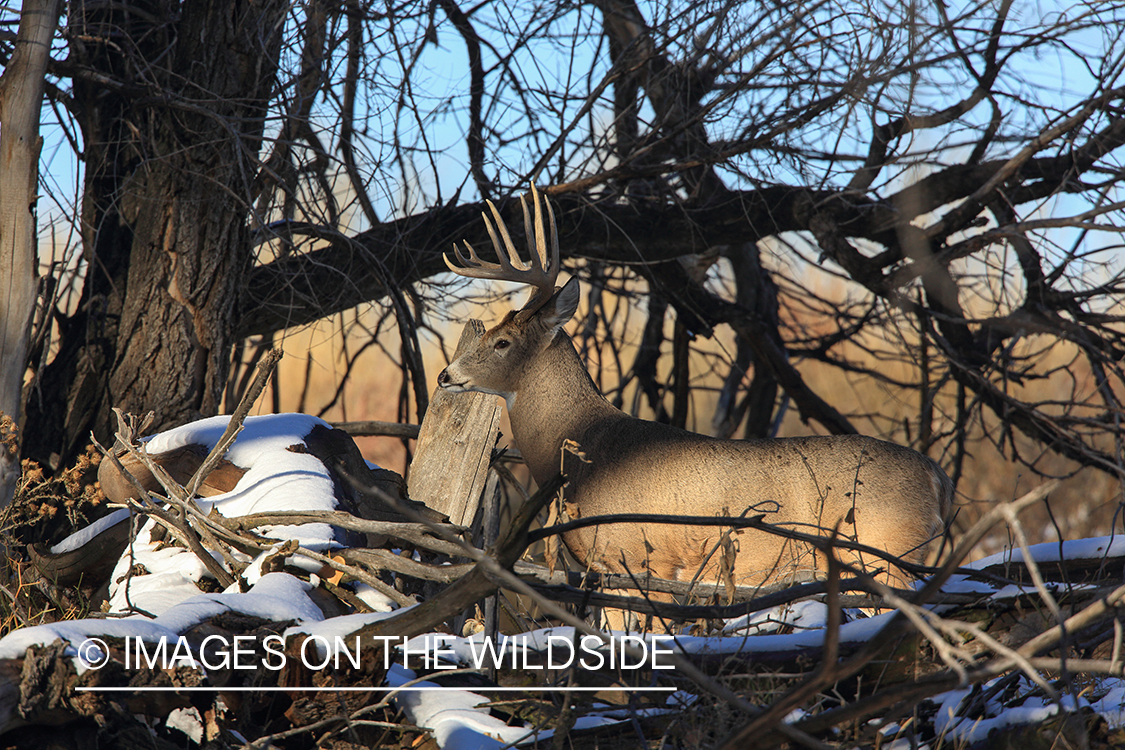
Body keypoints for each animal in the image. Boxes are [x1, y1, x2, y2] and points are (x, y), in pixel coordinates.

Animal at [434, 186, 954, 616]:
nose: (445, 375)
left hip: (886, 553)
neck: (588, 450)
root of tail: (937, 475)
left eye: (502, 342)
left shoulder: (646, 559)